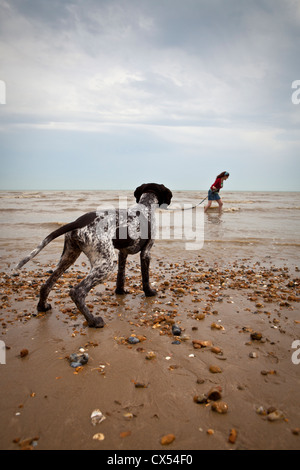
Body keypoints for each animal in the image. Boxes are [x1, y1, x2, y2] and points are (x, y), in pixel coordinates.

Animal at [16, 183, 173, 326]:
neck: (145, 206)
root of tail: (78, 222)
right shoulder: (146, 252)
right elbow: (145, 278)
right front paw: (149, 292)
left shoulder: (122, 253)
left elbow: (120, 277)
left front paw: (120, 292)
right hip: (107, 263)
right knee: (77, 292)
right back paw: (93, 321)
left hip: (69, 257)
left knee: (46, 285)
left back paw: (42, 307)